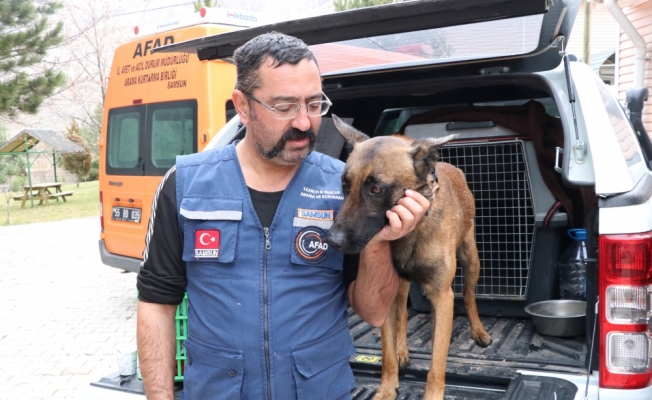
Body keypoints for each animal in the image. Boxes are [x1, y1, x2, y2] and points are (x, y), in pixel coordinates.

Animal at [328, 114, 492, 398]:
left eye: (377, 189)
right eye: (344, 185)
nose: (332, 241)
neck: (412, 230)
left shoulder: (442, 295)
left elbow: (437, 364)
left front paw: (433, 394)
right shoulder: (386, 291)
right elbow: (387, 352)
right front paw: (386, 388)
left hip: (471, 259)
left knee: (469, 296)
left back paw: (478, 331)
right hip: (402, 284)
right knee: (402, 316)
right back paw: (403, 349)